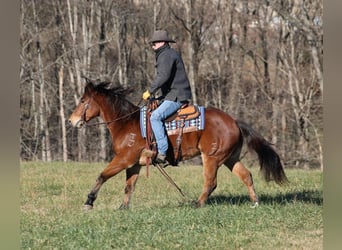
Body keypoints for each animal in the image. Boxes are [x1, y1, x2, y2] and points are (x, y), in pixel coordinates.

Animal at [68, 81, 288, 210]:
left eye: (83, 100)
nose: (72, 121)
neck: (126, 123)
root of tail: (234, 121)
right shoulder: (134, 164)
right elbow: (129, 187)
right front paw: (124, 208)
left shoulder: (123, 160)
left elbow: (102, 176)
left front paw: (89, 202)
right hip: (229, 158)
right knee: (246, 176)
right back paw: (255, 202)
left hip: (211, 158)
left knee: (211, 182)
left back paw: (197, 204)